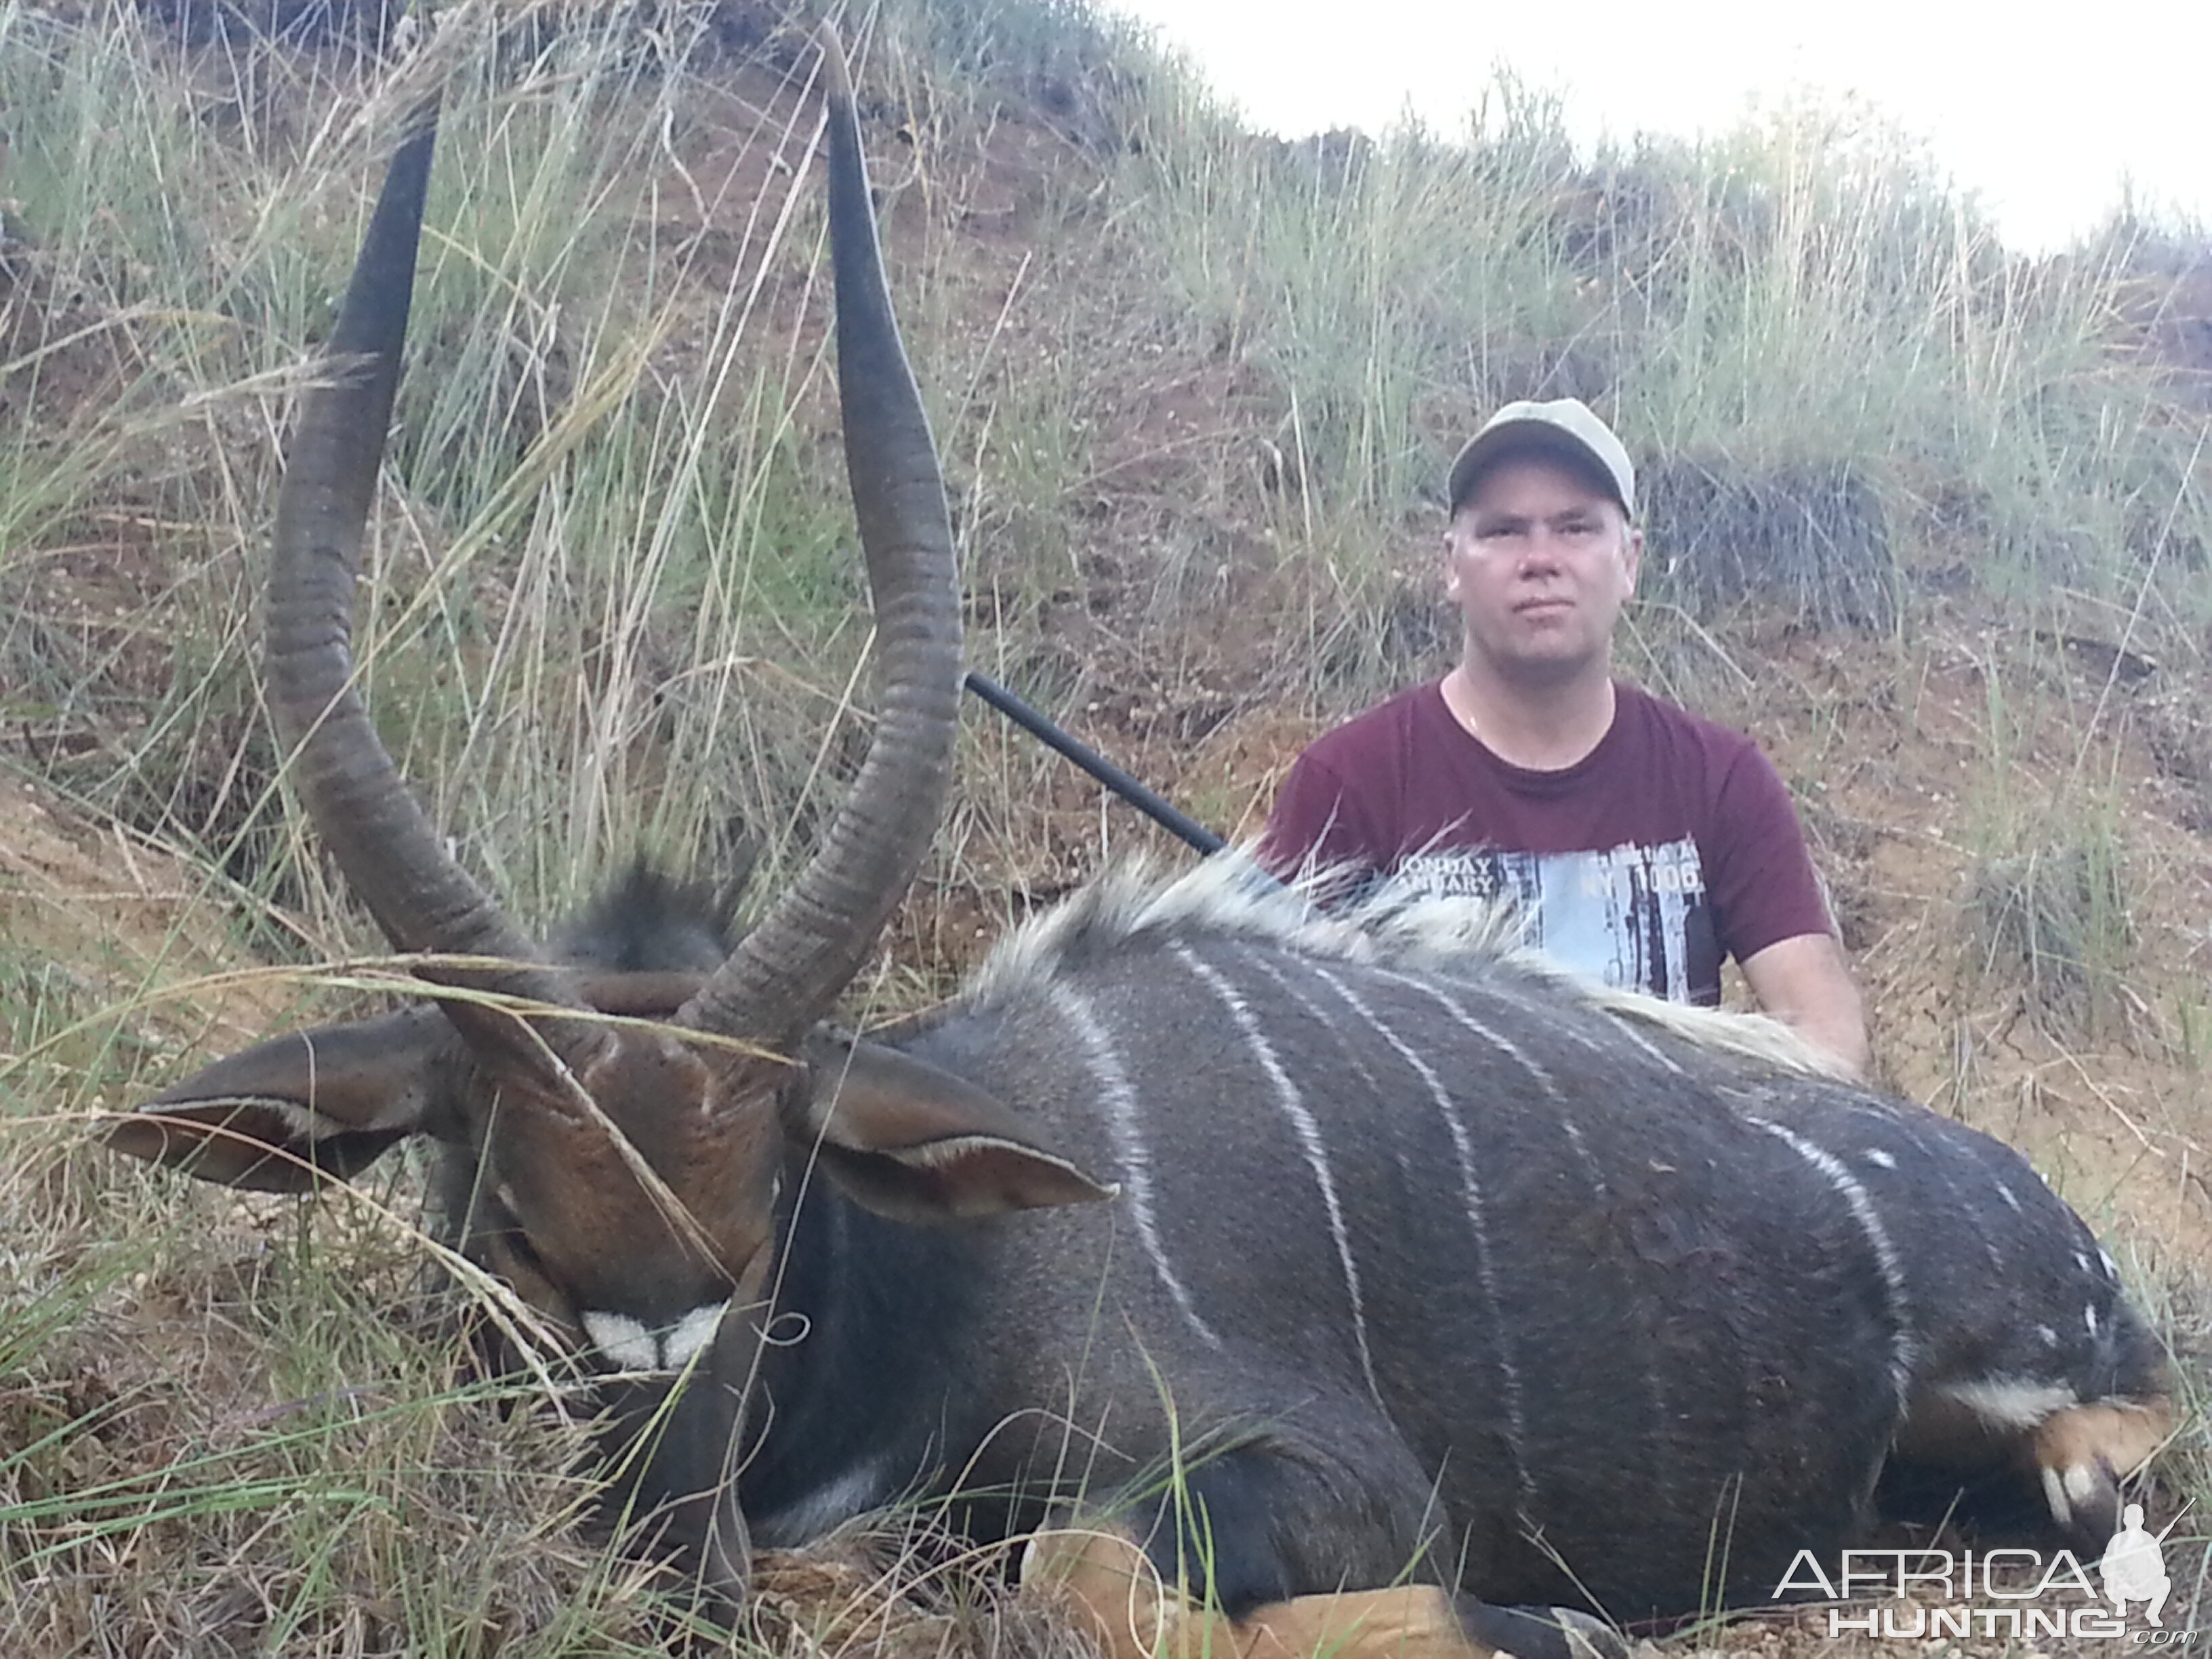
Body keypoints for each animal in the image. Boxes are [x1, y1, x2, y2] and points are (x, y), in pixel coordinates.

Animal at [112, 26, 2167, 1659]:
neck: (951, 1279)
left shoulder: (1326, 1473)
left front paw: (1547, 1617)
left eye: (764, 1235)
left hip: (2056, 1380)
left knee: (2111, 1461)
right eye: (510, 1239)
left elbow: (1076, 1572)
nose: (662, 1543)